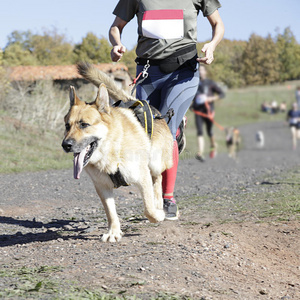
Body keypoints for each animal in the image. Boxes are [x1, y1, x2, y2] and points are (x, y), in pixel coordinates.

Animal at [61, 62, 173, 241]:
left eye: (84, 124)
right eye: (67, 126)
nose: (65, 145)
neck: (112, 150)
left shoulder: (142, 177)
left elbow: (148, 209)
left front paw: (158, 214)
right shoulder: (102, 187)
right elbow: (111, 212)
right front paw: (113, 232)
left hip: (155, 163)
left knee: (158, 178)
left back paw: (159, 204)